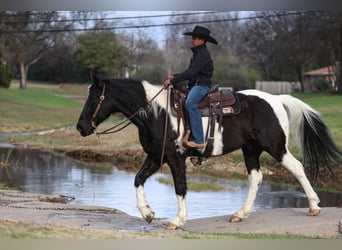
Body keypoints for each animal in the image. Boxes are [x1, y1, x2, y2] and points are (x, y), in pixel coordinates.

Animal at [76, 74, 340, 230]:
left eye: (94, 98)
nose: (80, 127)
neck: (157, 113)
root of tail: (275, 99)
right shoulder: (155, 156)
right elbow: (137, 179)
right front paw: (148, 213)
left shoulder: (175, 158)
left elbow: (180, 187)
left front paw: (177, 220)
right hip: (251, 150)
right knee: (255, 178)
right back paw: (240, 214)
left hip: (276, 147)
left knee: (297, 167)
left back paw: (314, 206)